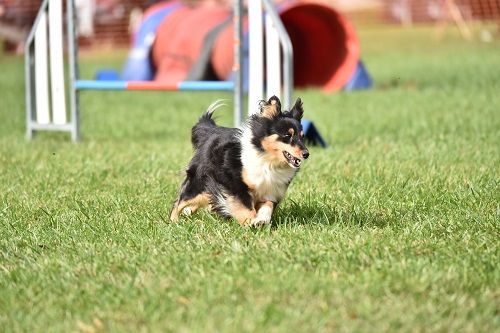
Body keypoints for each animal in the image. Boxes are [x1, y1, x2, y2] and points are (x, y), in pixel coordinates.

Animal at [170, 96, 308, 226]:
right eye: (287, 135)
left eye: (302, 136)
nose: (306, 154)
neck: (268, 160)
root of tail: (210, 132)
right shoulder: (236, 186)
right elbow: (247, 208)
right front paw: (250, 222)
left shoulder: (270, 190)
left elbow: (268, 206)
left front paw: (260, 221)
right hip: (198, 182)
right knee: (180, 201)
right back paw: (173, 222)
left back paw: (187, 214)